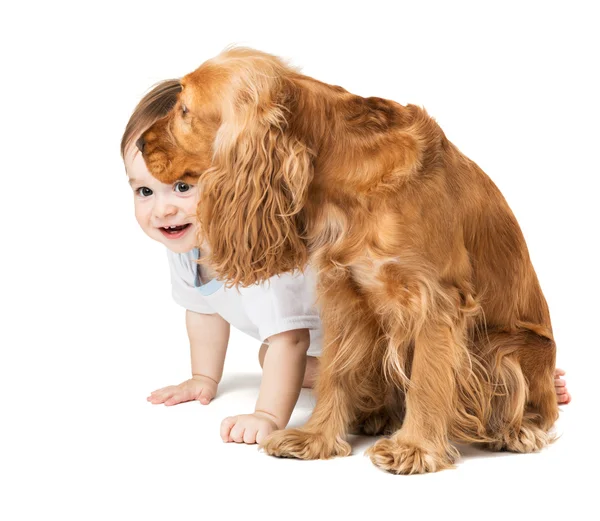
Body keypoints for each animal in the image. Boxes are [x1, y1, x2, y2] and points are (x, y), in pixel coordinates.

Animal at [139, 47, 556, 472]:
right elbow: (336, 373)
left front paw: (414, 448)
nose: (139, 142)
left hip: (500, 348)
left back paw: (516, 431)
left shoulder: (436, 299)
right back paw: (377, 415)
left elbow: (426, 379)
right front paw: (315, 437)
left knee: (537, 408)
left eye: (185, 109)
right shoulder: (344, 291)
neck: (342, 170)